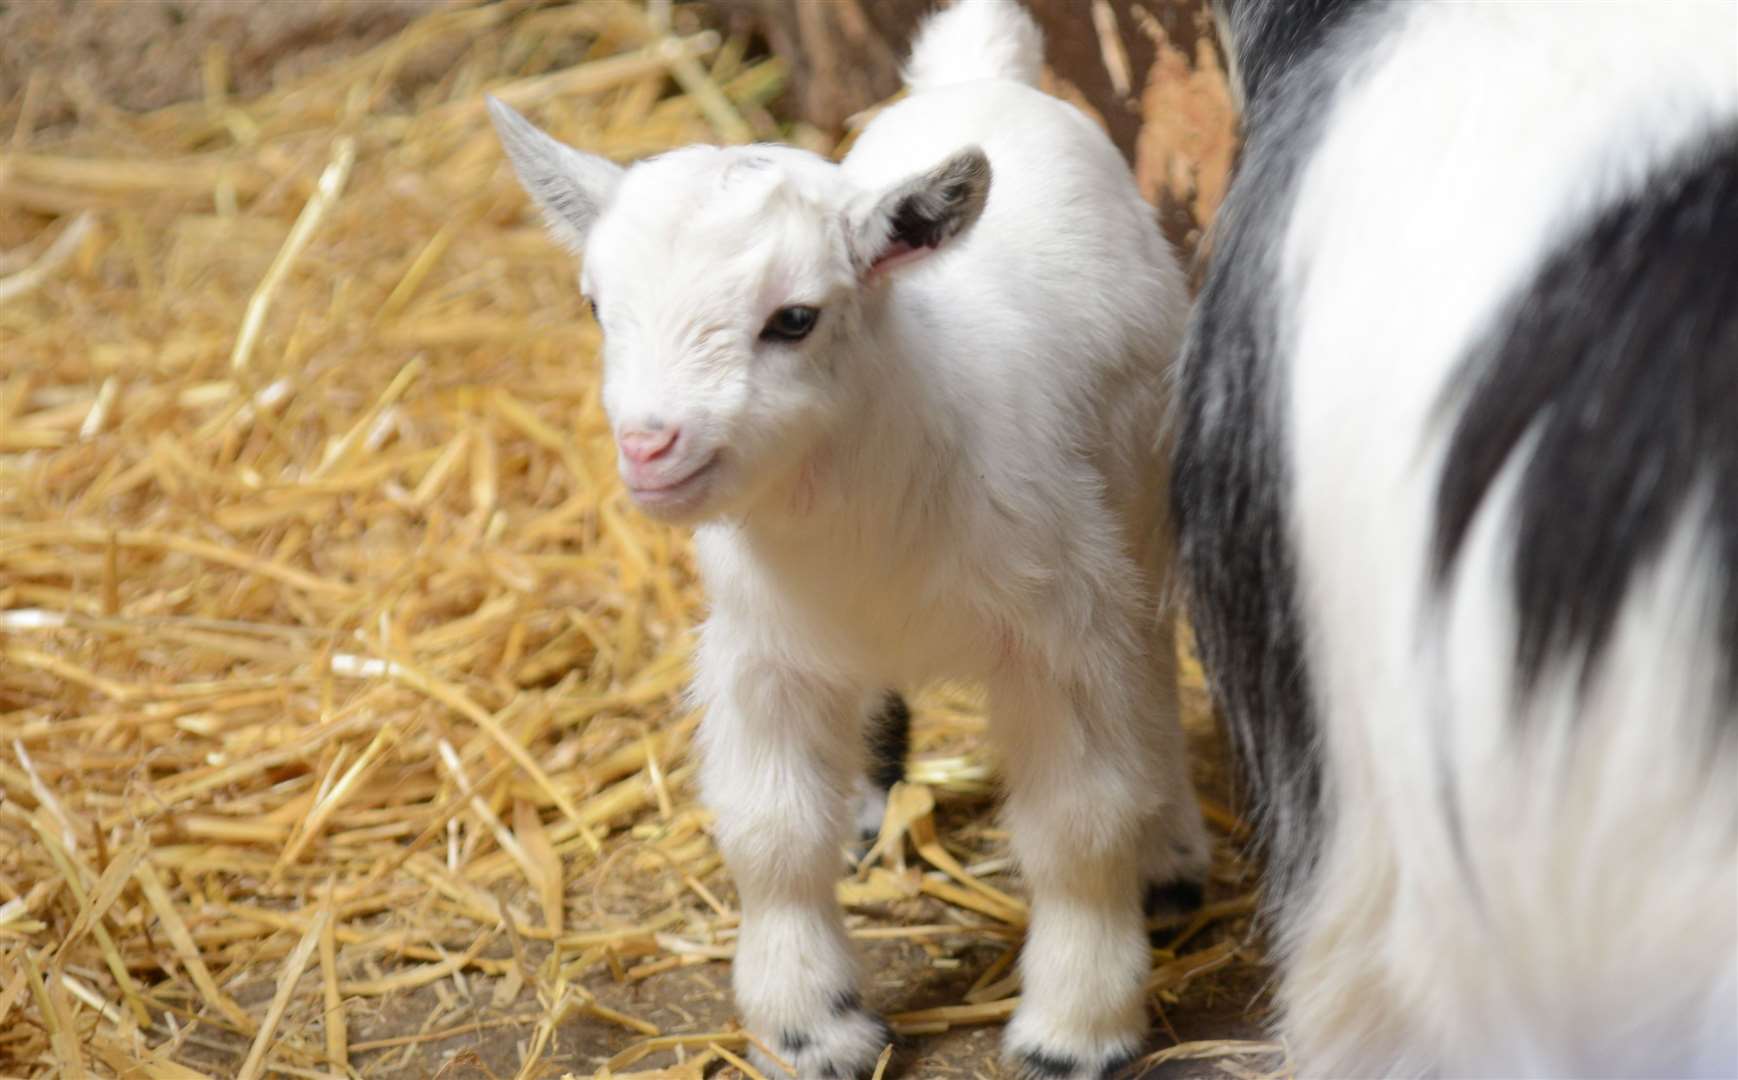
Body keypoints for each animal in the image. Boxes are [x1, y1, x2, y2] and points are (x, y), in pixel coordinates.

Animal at [483, 2, 1202, 1078]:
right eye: (596, 306)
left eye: (794, 318)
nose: (651, 446)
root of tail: (980, 75)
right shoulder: (762, 651)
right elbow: (771, 833)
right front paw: (808, 1025)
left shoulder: (1063, 632)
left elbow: (1079, 824)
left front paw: (1075, 1028)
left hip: (1141, 490)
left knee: (1153, 665)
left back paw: (1173, 854)